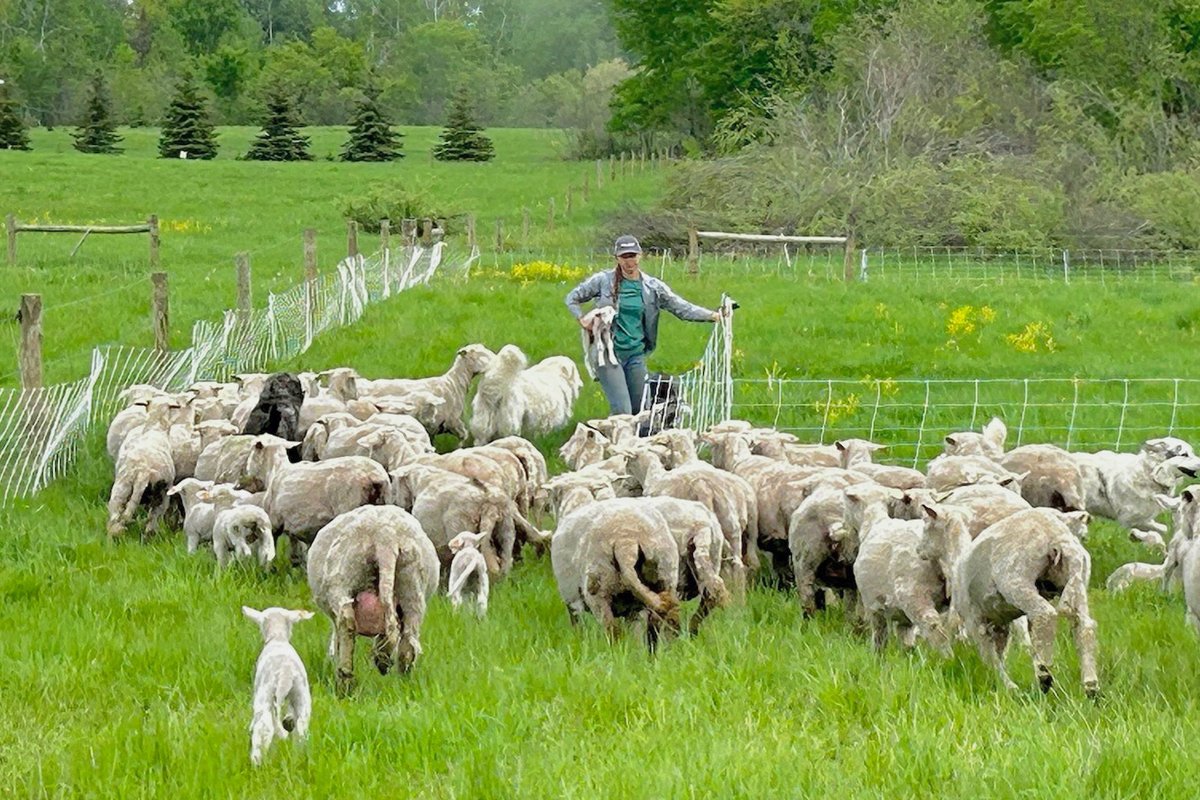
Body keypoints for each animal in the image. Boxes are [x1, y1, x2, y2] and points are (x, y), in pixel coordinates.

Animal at [108, 395, 177, 537]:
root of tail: (142, 472)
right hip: (161, 496)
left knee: (115, 519)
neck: (155, 429)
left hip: (120, 490)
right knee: (152, 521)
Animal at [238, 606, 312, 767]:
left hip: (265, 695)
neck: (278, 638)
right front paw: (288, 721)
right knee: (301, 729)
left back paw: (256, 762)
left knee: (264, 728)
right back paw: (298, 757)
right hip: (302, 695)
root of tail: (286, 672)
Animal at [307, 503, 439, 690]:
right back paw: (399, 677)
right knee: (407, 642)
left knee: (347, 621)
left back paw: (345, 680)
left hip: (342, 578)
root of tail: (386, 534)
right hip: (412, 585)